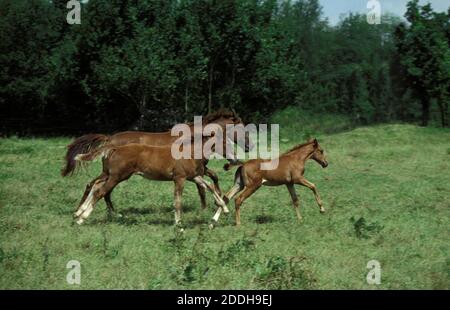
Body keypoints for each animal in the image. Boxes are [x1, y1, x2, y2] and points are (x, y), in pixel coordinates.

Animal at [74, 134, 230, 226]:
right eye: (224, 143)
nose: (232, 157)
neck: (189, 152)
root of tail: (114, 148)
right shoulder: (180, 178)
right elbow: (178, 200)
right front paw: (178, 225)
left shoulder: (193, 176)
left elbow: (209, 186)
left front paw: (225, 208)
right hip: (117, 176)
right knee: (100, 191)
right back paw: (82, 218)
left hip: (109, 174)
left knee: (95, 185)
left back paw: (79, 212)